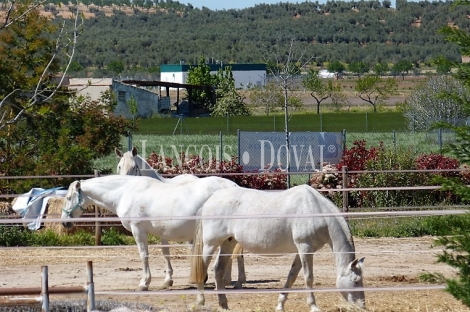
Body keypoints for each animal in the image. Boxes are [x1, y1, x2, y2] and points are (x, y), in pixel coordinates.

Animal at [60, 174, 241, 292]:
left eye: (68, 198)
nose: (64, 223)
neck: (125, 193)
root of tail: (233, 187)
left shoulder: (138, 230)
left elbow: (144, 255)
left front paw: (144, 283)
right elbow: (164, 253)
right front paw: (166, 281)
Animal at [114, 146, 246, 288]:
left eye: (134, 167)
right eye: (119, 166)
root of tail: (232, 185)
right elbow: (165, 252)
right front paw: (168, 279)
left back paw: (235, 281)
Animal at [189, 184, 366, 310]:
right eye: (356, 281)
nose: (362, 306)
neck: (317, 211)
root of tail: (212, 198)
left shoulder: (300, 252)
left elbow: (292, 276)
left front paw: (280, 304)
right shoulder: (305, 249)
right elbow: (308, 278)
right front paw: (314, 306)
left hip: (228, 243)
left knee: (218, 269)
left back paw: (224, 305)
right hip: (210, 244)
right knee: (203, 268)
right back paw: (201, 302)